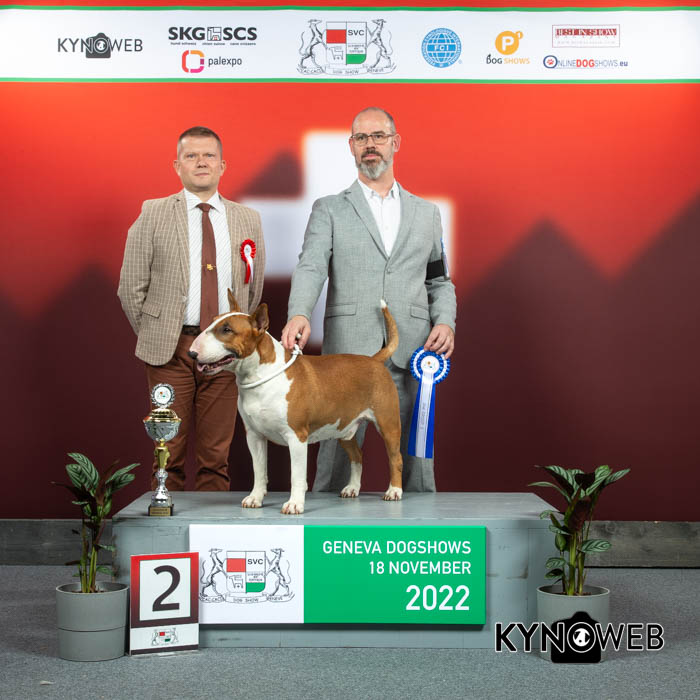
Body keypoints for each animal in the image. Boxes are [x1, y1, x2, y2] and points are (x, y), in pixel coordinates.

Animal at [188, 291, 403, 514]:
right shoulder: (254, 436)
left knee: (396, 458)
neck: (260, 375)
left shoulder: (296, 436)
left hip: (388, 424)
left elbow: (297, 475)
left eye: (227, 329)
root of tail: (375, 360)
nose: (191, 352)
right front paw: (255, 498)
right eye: (213, 321)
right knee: (357, 455)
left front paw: (294, 504)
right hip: (343, 428)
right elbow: (259, 470)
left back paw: (394, 491)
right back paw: (352, 488)